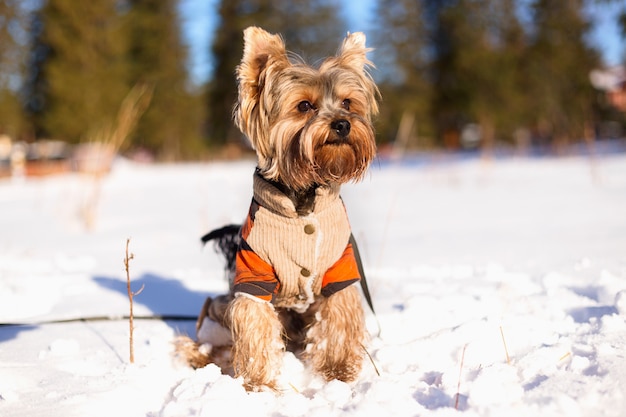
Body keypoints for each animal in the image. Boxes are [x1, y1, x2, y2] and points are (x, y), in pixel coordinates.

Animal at [177, 26, 380, 390]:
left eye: (347, 102)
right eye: (304, 106)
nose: (343, 124)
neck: (303, 199)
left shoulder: (340, 266)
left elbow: (339, 315)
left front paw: (338, 373)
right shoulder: (253, 272)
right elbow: (255, 322)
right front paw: (257, 385)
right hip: (217, 311)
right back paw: (202, 357)